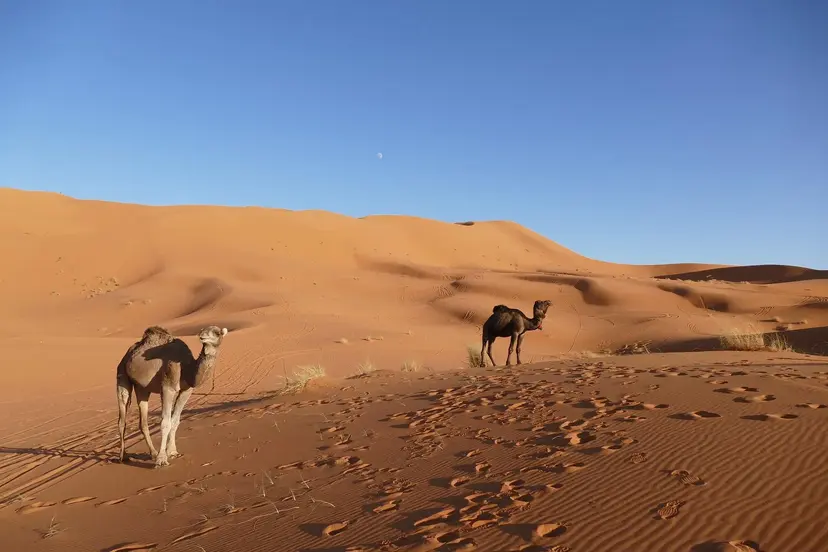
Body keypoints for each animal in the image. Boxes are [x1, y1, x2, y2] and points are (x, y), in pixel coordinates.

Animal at [116, 325, 228, 467]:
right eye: (204, 330)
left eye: (217, 333)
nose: (202, 336)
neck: (187, 368)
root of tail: (128, 353)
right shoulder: (167, 388)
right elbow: (165, 422)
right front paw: (162, 459)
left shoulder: (186, 390)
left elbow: (175, 421)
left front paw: (173, 452)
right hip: (121, 374)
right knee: (122, 418)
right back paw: (123, 456)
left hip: (142, 388)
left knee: (143, 422)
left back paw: (153, 453)